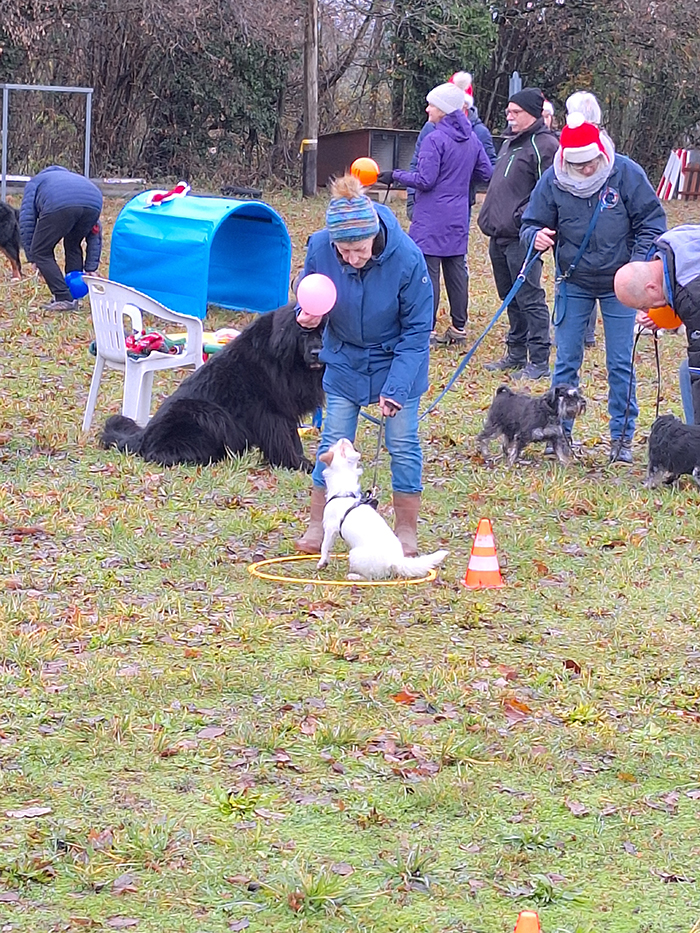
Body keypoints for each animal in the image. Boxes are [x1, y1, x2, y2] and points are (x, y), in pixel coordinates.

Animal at [101, 303, 325, 470]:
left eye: (324, 333)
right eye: (304, 334)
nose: (317, 352)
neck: (285, 359)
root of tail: (142, 436)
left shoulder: (286, 409)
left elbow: (293, 438)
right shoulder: (271, 411)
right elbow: (283, 440)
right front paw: (297, 464)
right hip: (206, 412)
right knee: (159, 454)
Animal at [317, 438, 448, 581]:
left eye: (340, 447)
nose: (343, 439)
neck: (344, 491)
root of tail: (396, 561)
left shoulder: (330, 528)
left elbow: (324, 546)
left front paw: (322, 562)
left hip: (355, 555)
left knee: (369, 578)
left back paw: (353, 576)